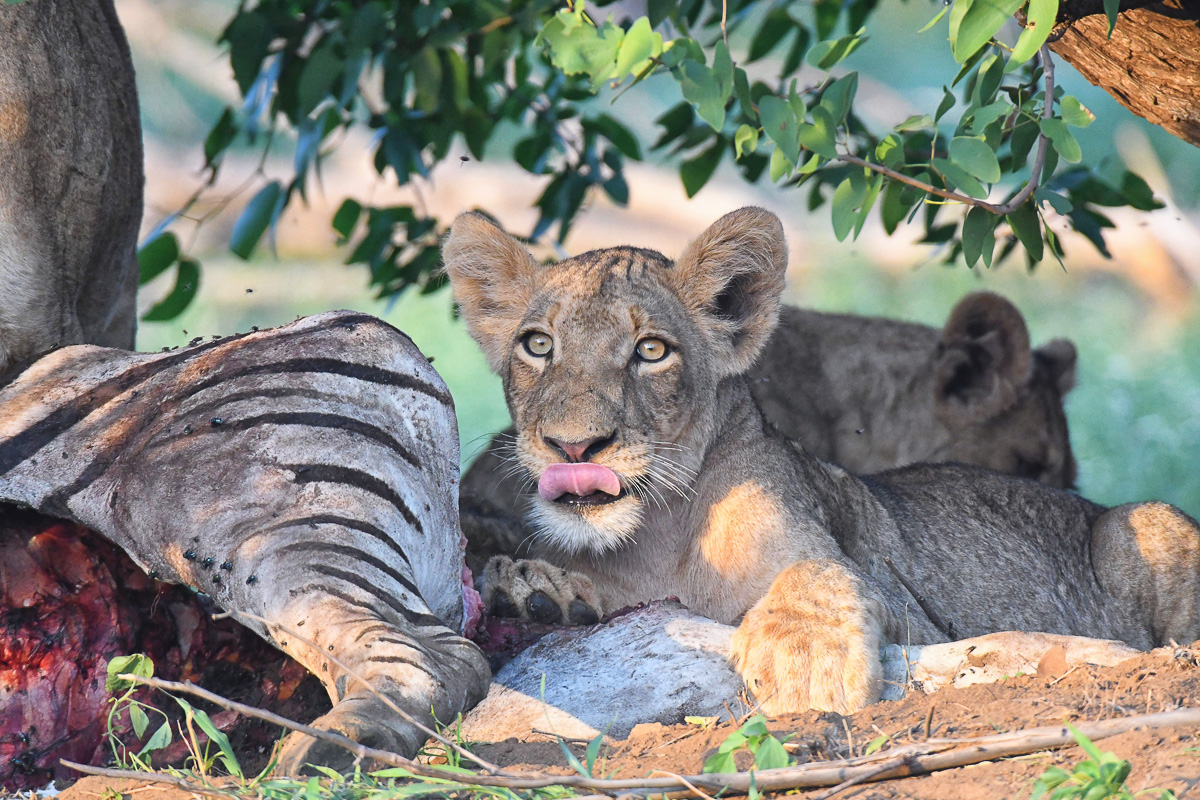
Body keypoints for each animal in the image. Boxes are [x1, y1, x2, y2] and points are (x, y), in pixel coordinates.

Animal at [443, 207, 1200, 715]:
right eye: (538, 345)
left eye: (651, 350)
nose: (573, 447)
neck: (650, 541)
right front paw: (533, 590)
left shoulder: (906, 607)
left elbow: (817, 571)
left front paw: (806, 665)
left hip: (1146, 522)